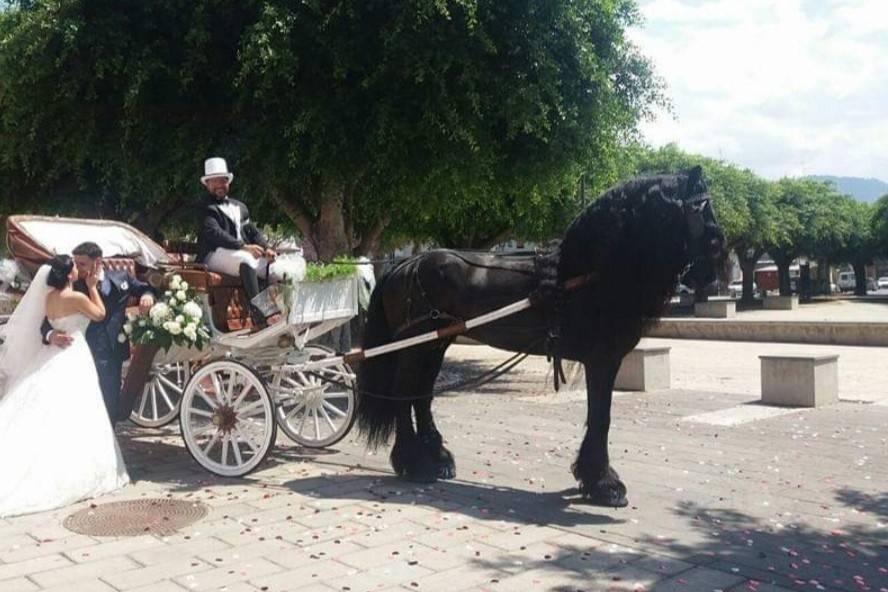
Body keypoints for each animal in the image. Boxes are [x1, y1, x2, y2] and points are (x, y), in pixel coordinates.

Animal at [354, 169, 720, 506]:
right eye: (701, 208)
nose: (712, 271)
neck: (586, 275)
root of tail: (405, 265)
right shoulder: (602, 361)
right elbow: (601, 417)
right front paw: (604, 484)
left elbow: (598, 416)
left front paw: (593, 479)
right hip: (415, 346)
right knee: (403, 396)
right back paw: (415, 464)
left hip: (434, 344)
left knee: (421, 397)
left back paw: (437, 459)